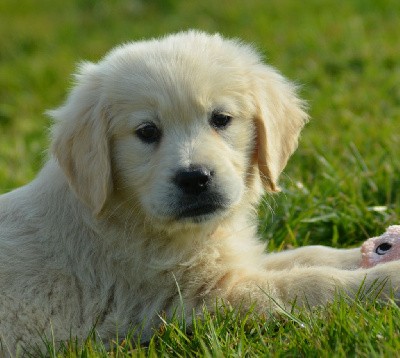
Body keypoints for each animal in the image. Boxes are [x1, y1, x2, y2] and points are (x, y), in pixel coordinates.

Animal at [0, 31, 398, 356]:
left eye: (221, 119)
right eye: (147, 132)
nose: (195, 179)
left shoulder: (231, 265)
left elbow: (309, 254)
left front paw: (370, 254)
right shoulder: (202, 301)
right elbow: (314, 283)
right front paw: (387, 281)